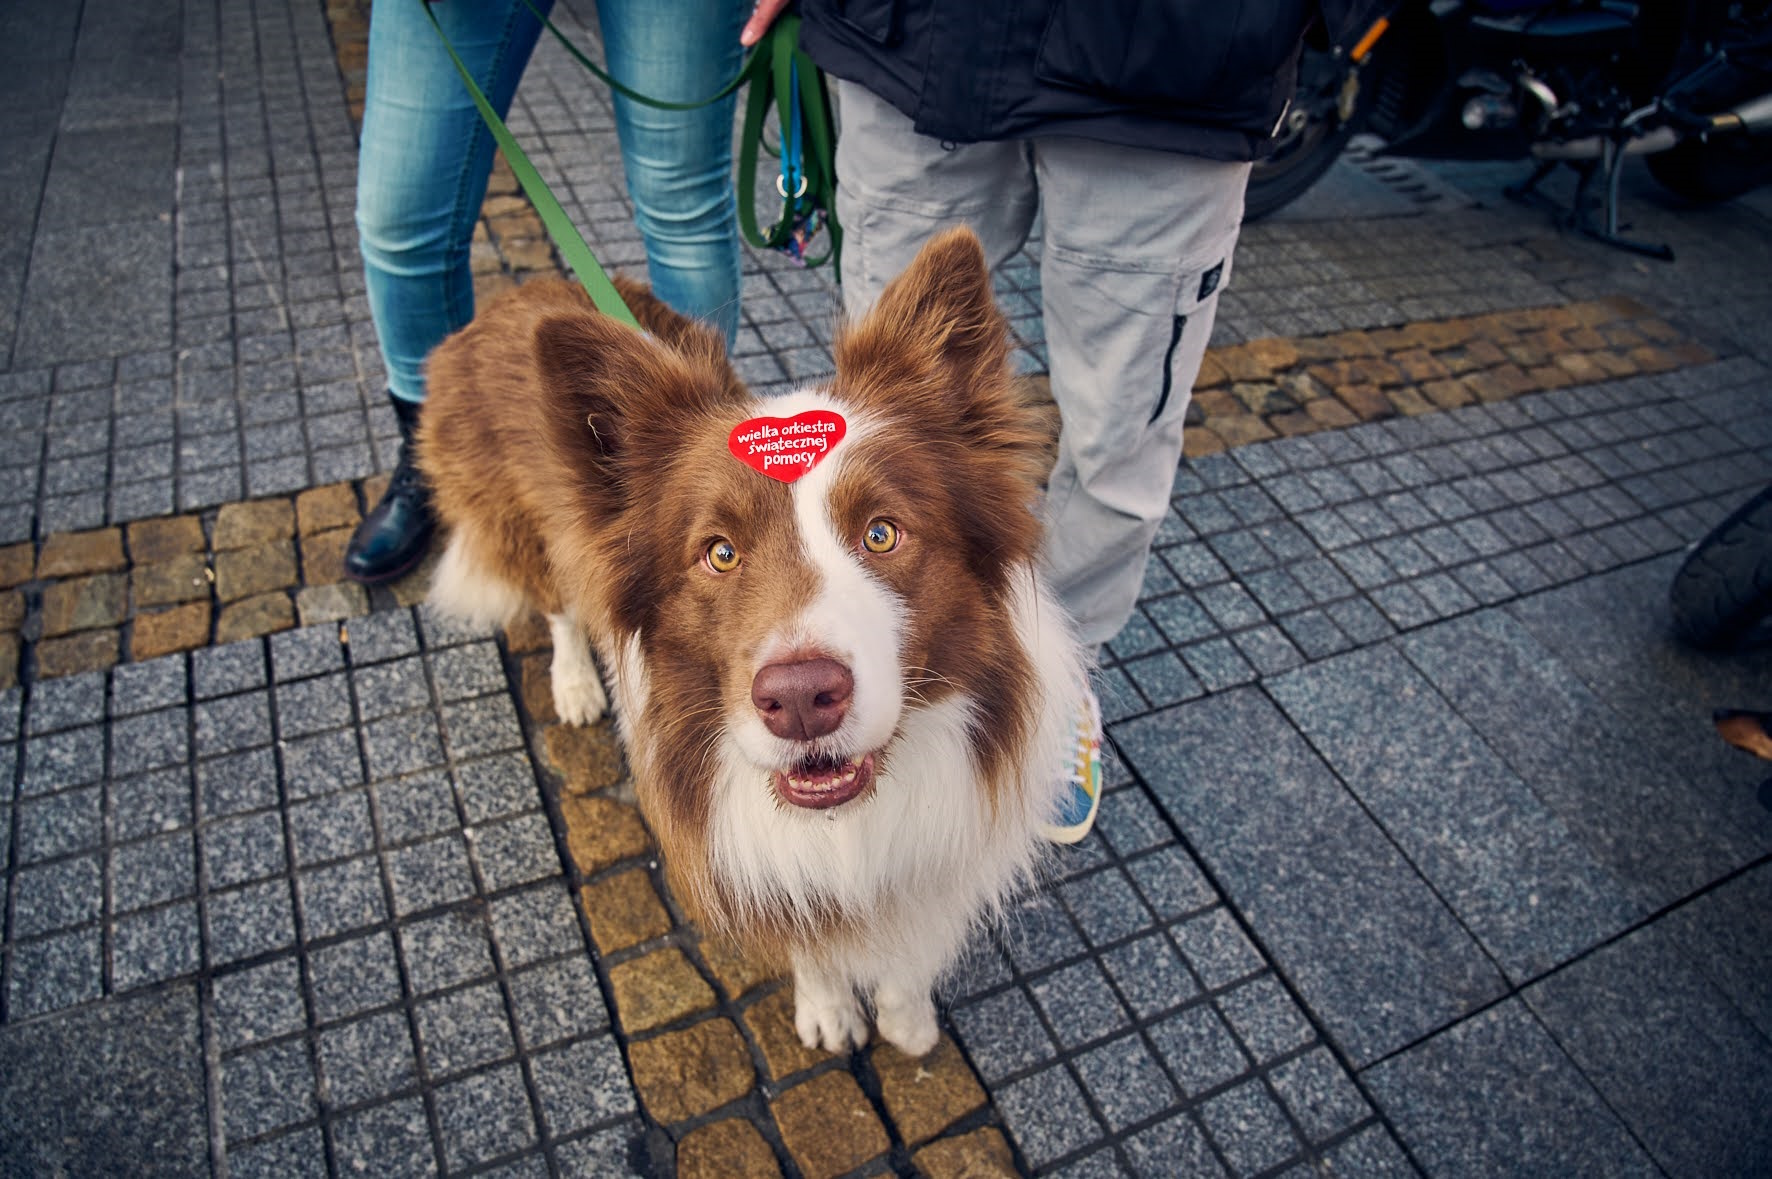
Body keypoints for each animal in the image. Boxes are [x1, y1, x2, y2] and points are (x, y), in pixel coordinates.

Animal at [418, 225, 1077, 1049]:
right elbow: (807, 932)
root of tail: (520, 292)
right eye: (720, 553)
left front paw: (906, 1014)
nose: (798, 699)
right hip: (533, 530)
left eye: (882, 532)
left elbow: (910, 947)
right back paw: (573, 683)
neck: (848, 822)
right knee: (561, 606)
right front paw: (829, 1008)